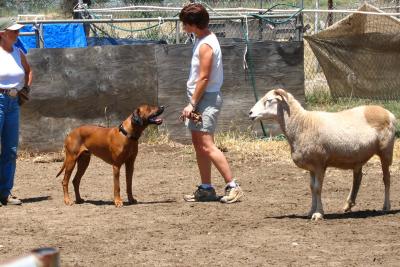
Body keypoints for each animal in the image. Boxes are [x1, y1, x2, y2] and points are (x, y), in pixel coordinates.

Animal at [248, 89, 396, 221]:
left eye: (269, 100)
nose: (250, 113)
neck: (302, 123)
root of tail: (389, 113)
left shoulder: (319, 164)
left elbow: (318, 188)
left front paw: (318, 214)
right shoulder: (311, 167)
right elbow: (312, 188)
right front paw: (311, 211)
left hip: (386, 151)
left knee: (386, 179)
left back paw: (386, 206)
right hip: (359, 155)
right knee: (358, 178)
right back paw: (348, 204)